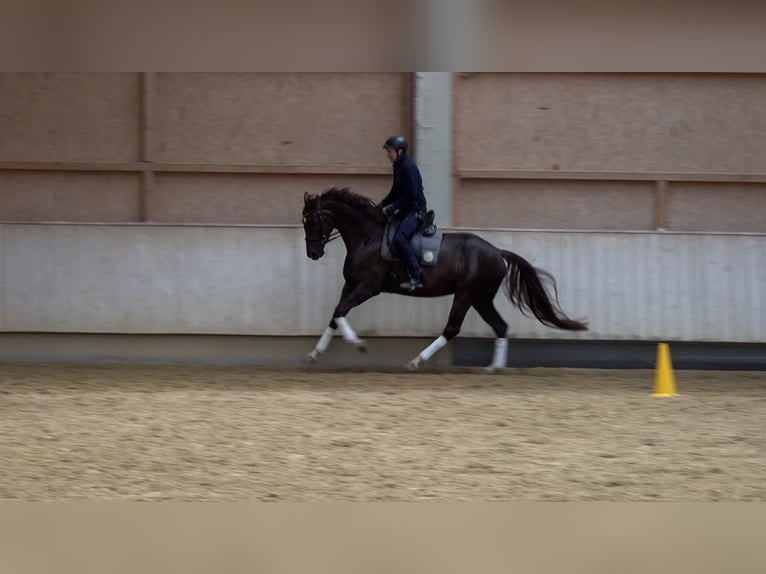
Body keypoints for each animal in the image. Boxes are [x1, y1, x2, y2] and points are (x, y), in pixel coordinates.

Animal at [302, 187, 588, 372]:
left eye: (312, 220)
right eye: (303, 222)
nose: (313, 254)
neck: (367, 237)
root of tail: (497, 252)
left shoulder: (368, 287)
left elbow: (341, 310)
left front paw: (358, 344)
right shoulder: (350, 284)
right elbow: (336, 313)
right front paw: (314, 353)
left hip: (466, 295)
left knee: (452, 329)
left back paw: (416, 361)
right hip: (481, 298)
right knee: (500, 326)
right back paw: (494, 368)